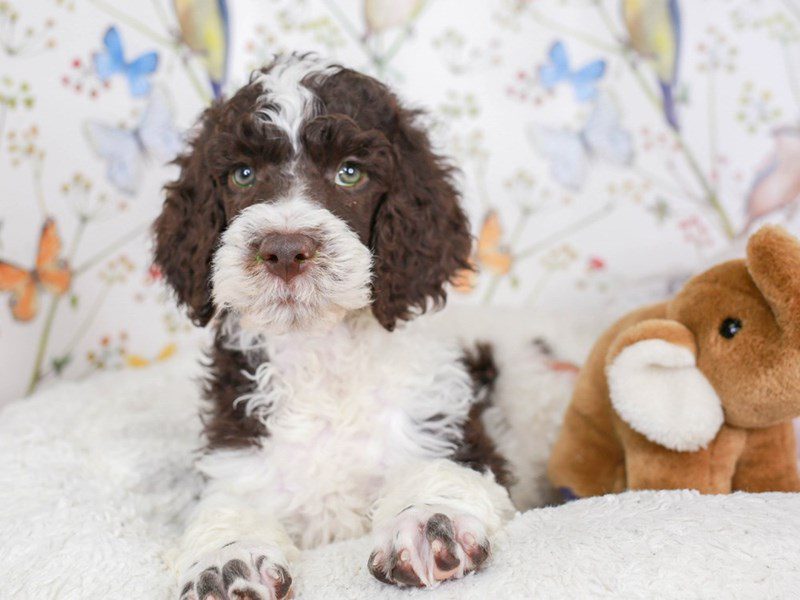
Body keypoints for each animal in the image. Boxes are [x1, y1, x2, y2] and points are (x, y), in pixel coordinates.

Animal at [155, 54, 520, 596]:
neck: (322, 356)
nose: (284, 250)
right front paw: (226, 559)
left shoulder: (445, 427)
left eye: (350, 172)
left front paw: (427, 519)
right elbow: (225, 506)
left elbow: (440, 468)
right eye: (242, 174)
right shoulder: (238, 458)